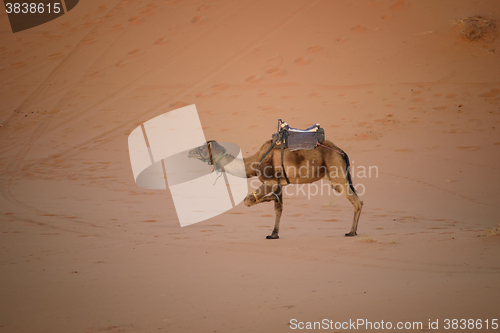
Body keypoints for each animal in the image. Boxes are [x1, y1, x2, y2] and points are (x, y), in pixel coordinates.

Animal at [188, 138, 364, 239]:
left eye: (202, 149)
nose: (189, 152)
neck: (254, 163)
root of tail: (341, 152)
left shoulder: (271, 181)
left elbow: (248, 200)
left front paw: (269, 199)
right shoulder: (279, 184)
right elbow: (278, 208)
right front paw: (273, 234)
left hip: (337, 174)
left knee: (357, 201)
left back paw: (351, 232)